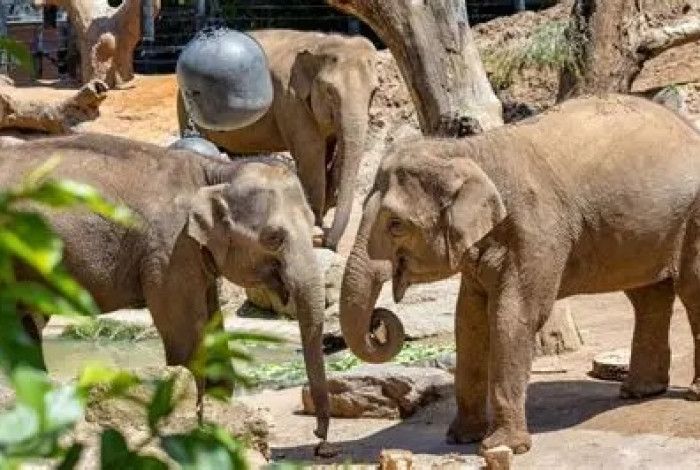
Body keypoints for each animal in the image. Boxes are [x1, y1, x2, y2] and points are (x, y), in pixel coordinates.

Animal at [0, 133, 330, 441]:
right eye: (274, 237)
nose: (317, 437)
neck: (215, 173)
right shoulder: (170, 249)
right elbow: (184, 335)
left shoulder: (193, 254)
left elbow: (211, 326)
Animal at [177, 29, 380, 251]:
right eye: (330, 91)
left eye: (374, 92)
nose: (327, 243)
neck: (320, 43)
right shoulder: (290, 99)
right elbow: (311, 153)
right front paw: (314, 223)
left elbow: (328, 150)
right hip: (185, 106)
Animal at [339, 95, 700, 454]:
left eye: (396, 224)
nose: (378, 320)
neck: (469, 151)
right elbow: (468, 319)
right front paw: (461, 438)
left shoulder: (536, 231)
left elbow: (514, 315)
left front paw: (503, 448)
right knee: (648, 295)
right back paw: (639, 391)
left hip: (693, 214)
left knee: (690, 287)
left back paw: (691, 395)